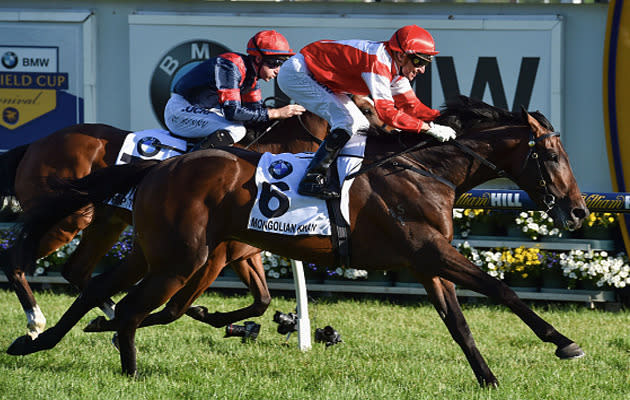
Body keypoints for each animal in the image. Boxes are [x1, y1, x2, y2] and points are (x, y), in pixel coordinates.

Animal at [4, 95, 592, 386]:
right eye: (552, 154)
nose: (579, 211)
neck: (424, 169)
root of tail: (158, 169)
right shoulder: (431, 251)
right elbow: (502, 291)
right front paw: (563, 342)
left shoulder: (427, 262)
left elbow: (460, 324)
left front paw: (487, 377)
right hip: (172, 253)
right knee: (113, 299)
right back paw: (88, 348)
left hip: (151, 248)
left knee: (94, 286)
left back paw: (41, 339)